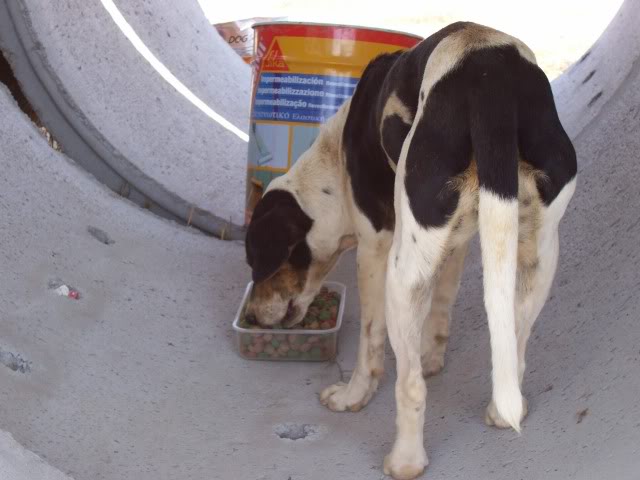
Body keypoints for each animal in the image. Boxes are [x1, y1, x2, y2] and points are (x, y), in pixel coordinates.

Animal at [242, 21, 576, 480]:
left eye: (257, 262)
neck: (334, 158)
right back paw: (501, 408)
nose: (255, 318)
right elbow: (442, 307)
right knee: (516, 348)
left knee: (410, 387)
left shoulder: (374, 248)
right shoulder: (455, 243)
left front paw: (354, 396)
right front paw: (431, 356)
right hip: (539, 257)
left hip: (401, 277)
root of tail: (489, 72)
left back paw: (405, 460)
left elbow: (370, 343)